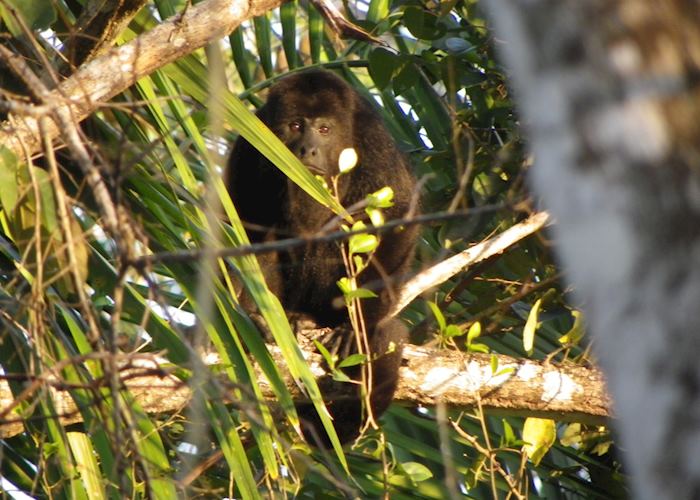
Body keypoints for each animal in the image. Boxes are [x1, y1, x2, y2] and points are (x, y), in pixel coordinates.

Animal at [227, 68, 418, 444]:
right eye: (296, 125)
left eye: (325, 129)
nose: (308, 148)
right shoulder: (250, 143)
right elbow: (242, 224)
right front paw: (251, 315)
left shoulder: (374, 141)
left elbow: (398, 212)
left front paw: (358, 325)